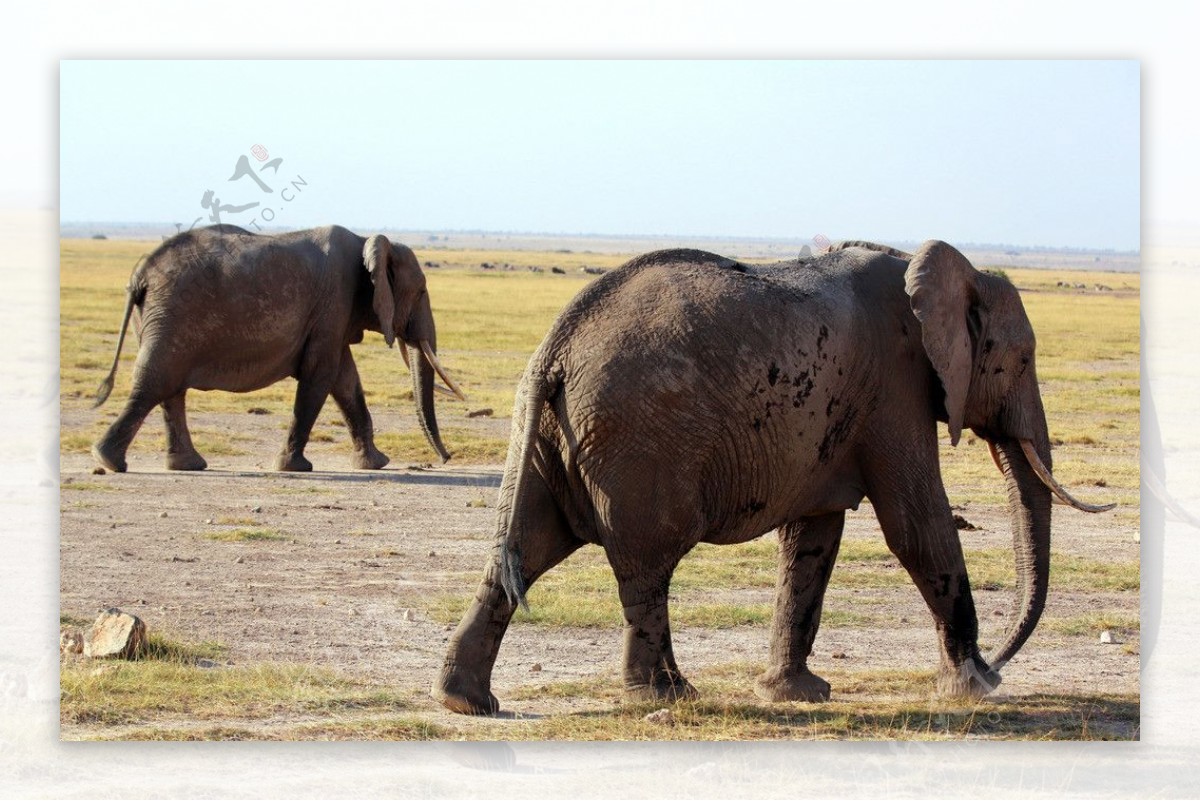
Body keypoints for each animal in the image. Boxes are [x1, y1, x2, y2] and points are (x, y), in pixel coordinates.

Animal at [87, 221, 463, 472]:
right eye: (422, 291)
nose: (446, 458)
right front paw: (293, 467)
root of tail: (139, 274)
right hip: (171, 315)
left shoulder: (332, 317)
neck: (368, 241)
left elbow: (345, 381)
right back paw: (110, 461)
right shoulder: (333, 302)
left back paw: (184, 465)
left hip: (158, 317)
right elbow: (320, 376)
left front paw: (375, 463)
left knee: (170, 390)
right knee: (157, 382)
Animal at [434, 237, 1113, 714]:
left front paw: (797, 693)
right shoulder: (897, 389)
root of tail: (554, 350)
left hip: (552, 439)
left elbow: (811, 541)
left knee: (526, 548)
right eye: (1022, 359)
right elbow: (916, 525)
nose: (999, 663)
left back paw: (466, 701)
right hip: (635, 440)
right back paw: (665, 697)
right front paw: (972, 689)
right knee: (648, 563)